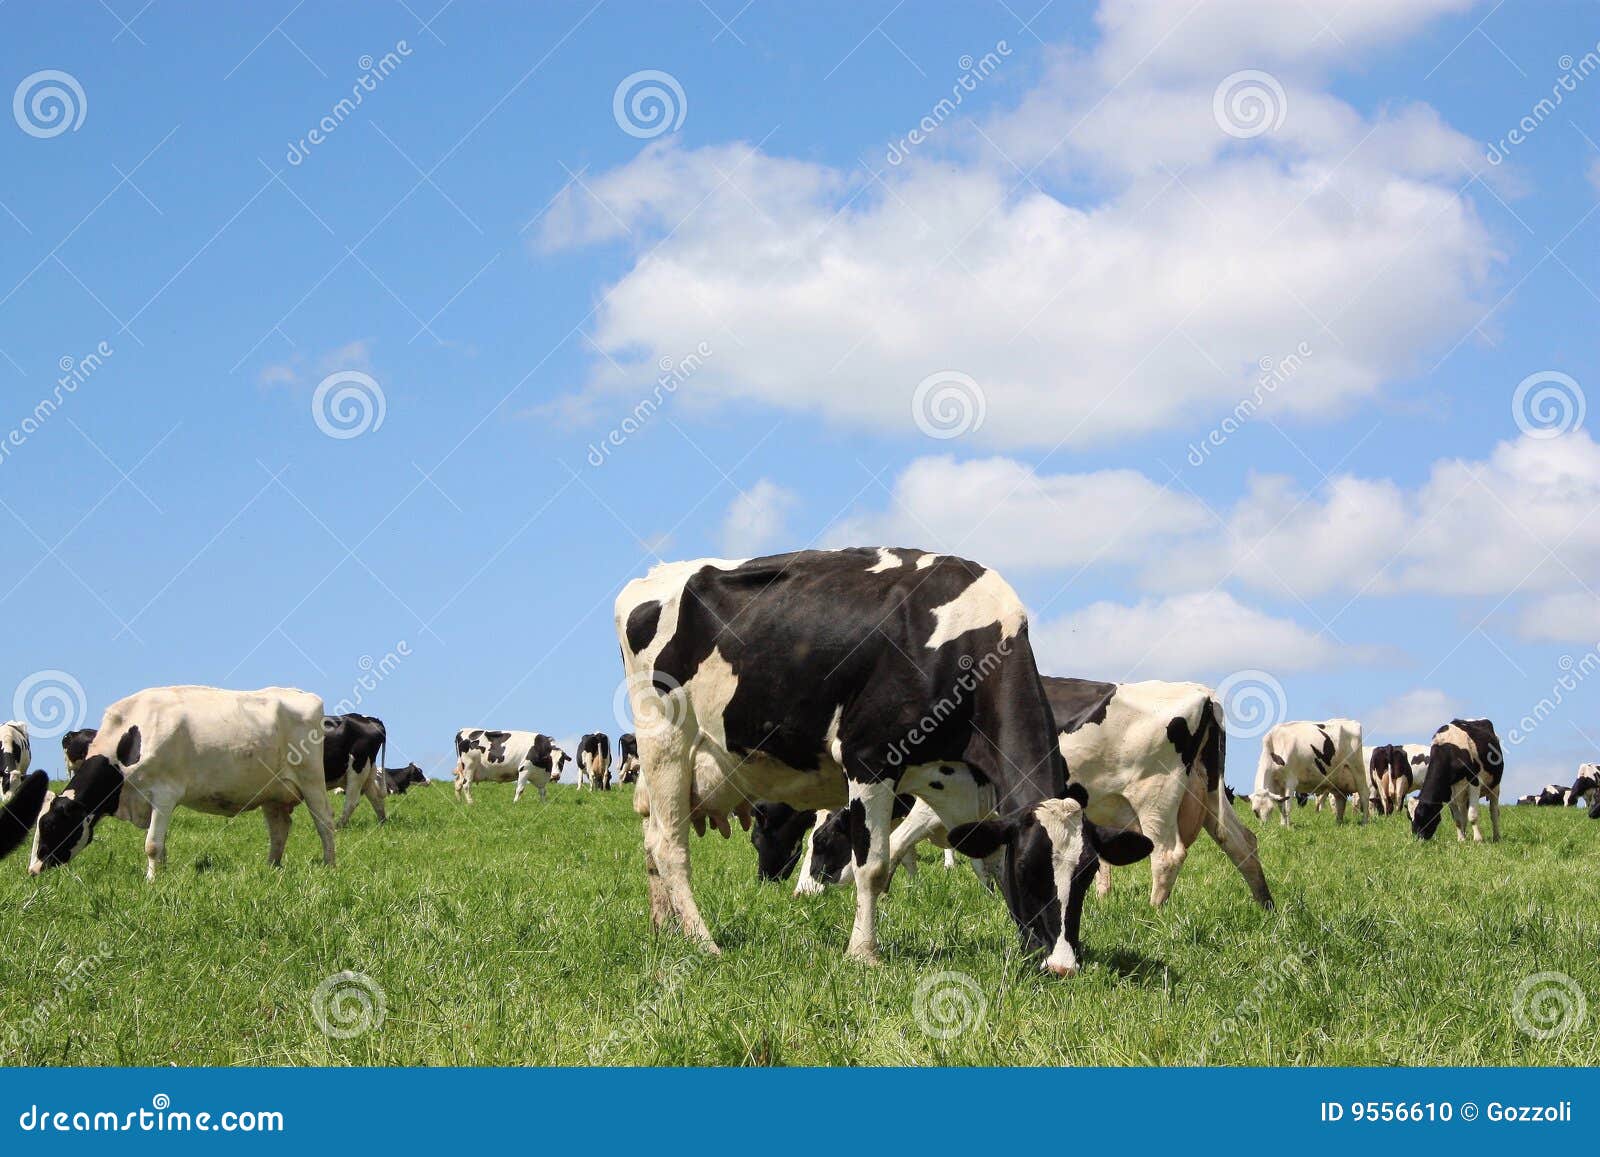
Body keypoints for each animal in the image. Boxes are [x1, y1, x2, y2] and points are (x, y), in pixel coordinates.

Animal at [0, 685, 335, 880]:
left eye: (52, 825)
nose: (33, 870)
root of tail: (302, 693)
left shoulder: (164, 793)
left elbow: (151, 844)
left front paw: (150, 881)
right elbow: (161, 845)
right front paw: (161, 874)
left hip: (312, 780)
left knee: (324, 824)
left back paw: (329, 867)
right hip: (272, 793)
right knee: (279, 830)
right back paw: (271, 868)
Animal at [617, 548, 1156, 978]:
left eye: (1086, 873)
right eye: (1030, 869)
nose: (1063, 966)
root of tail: (650, 579)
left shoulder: (960, 791)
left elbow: (979, 859)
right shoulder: (871, 758)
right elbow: (872, 866)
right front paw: (863, 954)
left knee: (649, 839)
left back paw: (664, 927)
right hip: (666, 740)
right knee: (669, 848)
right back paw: (703, 942)